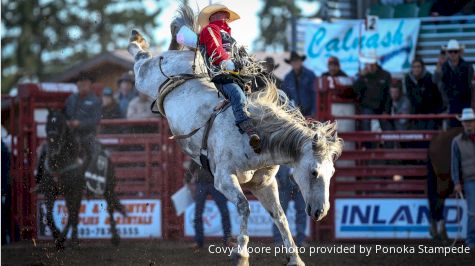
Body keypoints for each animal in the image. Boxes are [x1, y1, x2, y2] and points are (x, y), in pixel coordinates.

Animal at [126, 5, 342, 264]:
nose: (320, 212)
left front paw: (294, 258)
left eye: (332, 173)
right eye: (314, 172)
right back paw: (136, 39)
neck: (257, 138)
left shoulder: (264, 184)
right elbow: (243, 206)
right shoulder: (223, 179)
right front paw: (240, 254)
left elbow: (280, 216)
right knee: (140, 61)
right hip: (145, 77)